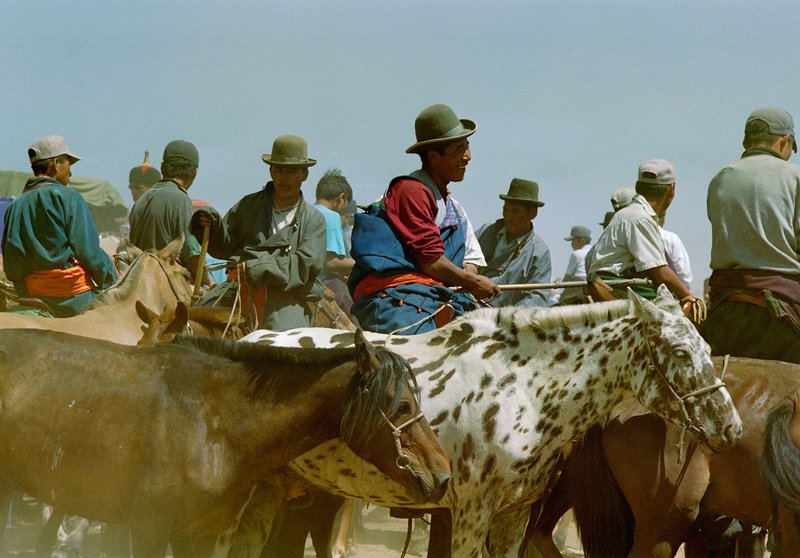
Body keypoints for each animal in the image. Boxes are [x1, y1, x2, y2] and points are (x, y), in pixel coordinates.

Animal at [234, 286, 740, 556]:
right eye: (680, 353)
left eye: (705, 346)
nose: (730, 427)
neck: (523, 390)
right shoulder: (470, 512)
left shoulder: (515, 516)